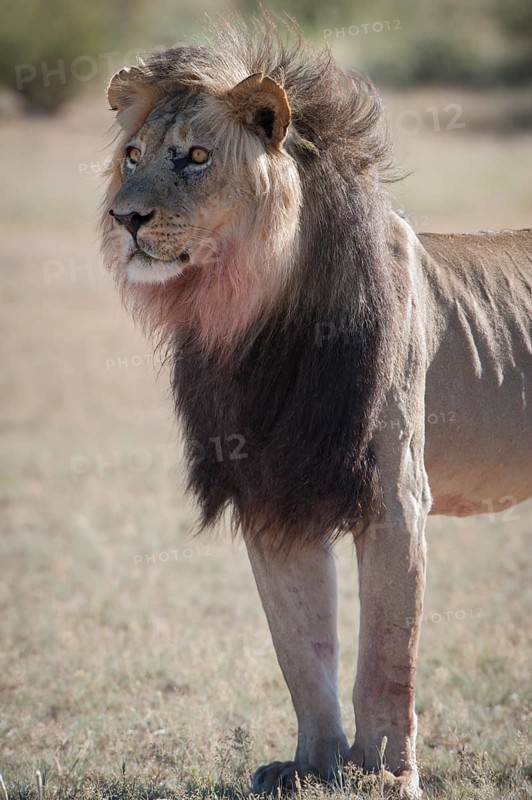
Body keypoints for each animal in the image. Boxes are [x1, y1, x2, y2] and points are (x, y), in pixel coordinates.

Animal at [100, 16, 532, 799]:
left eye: (196, 157)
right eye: (132, 157)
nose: (125, 219)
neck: (254, 320)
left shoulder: (394, 494)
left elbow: (387, 652)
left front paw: (387, 774)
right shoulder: (272, 490)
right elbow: (302, 649)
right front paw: (312, 766)